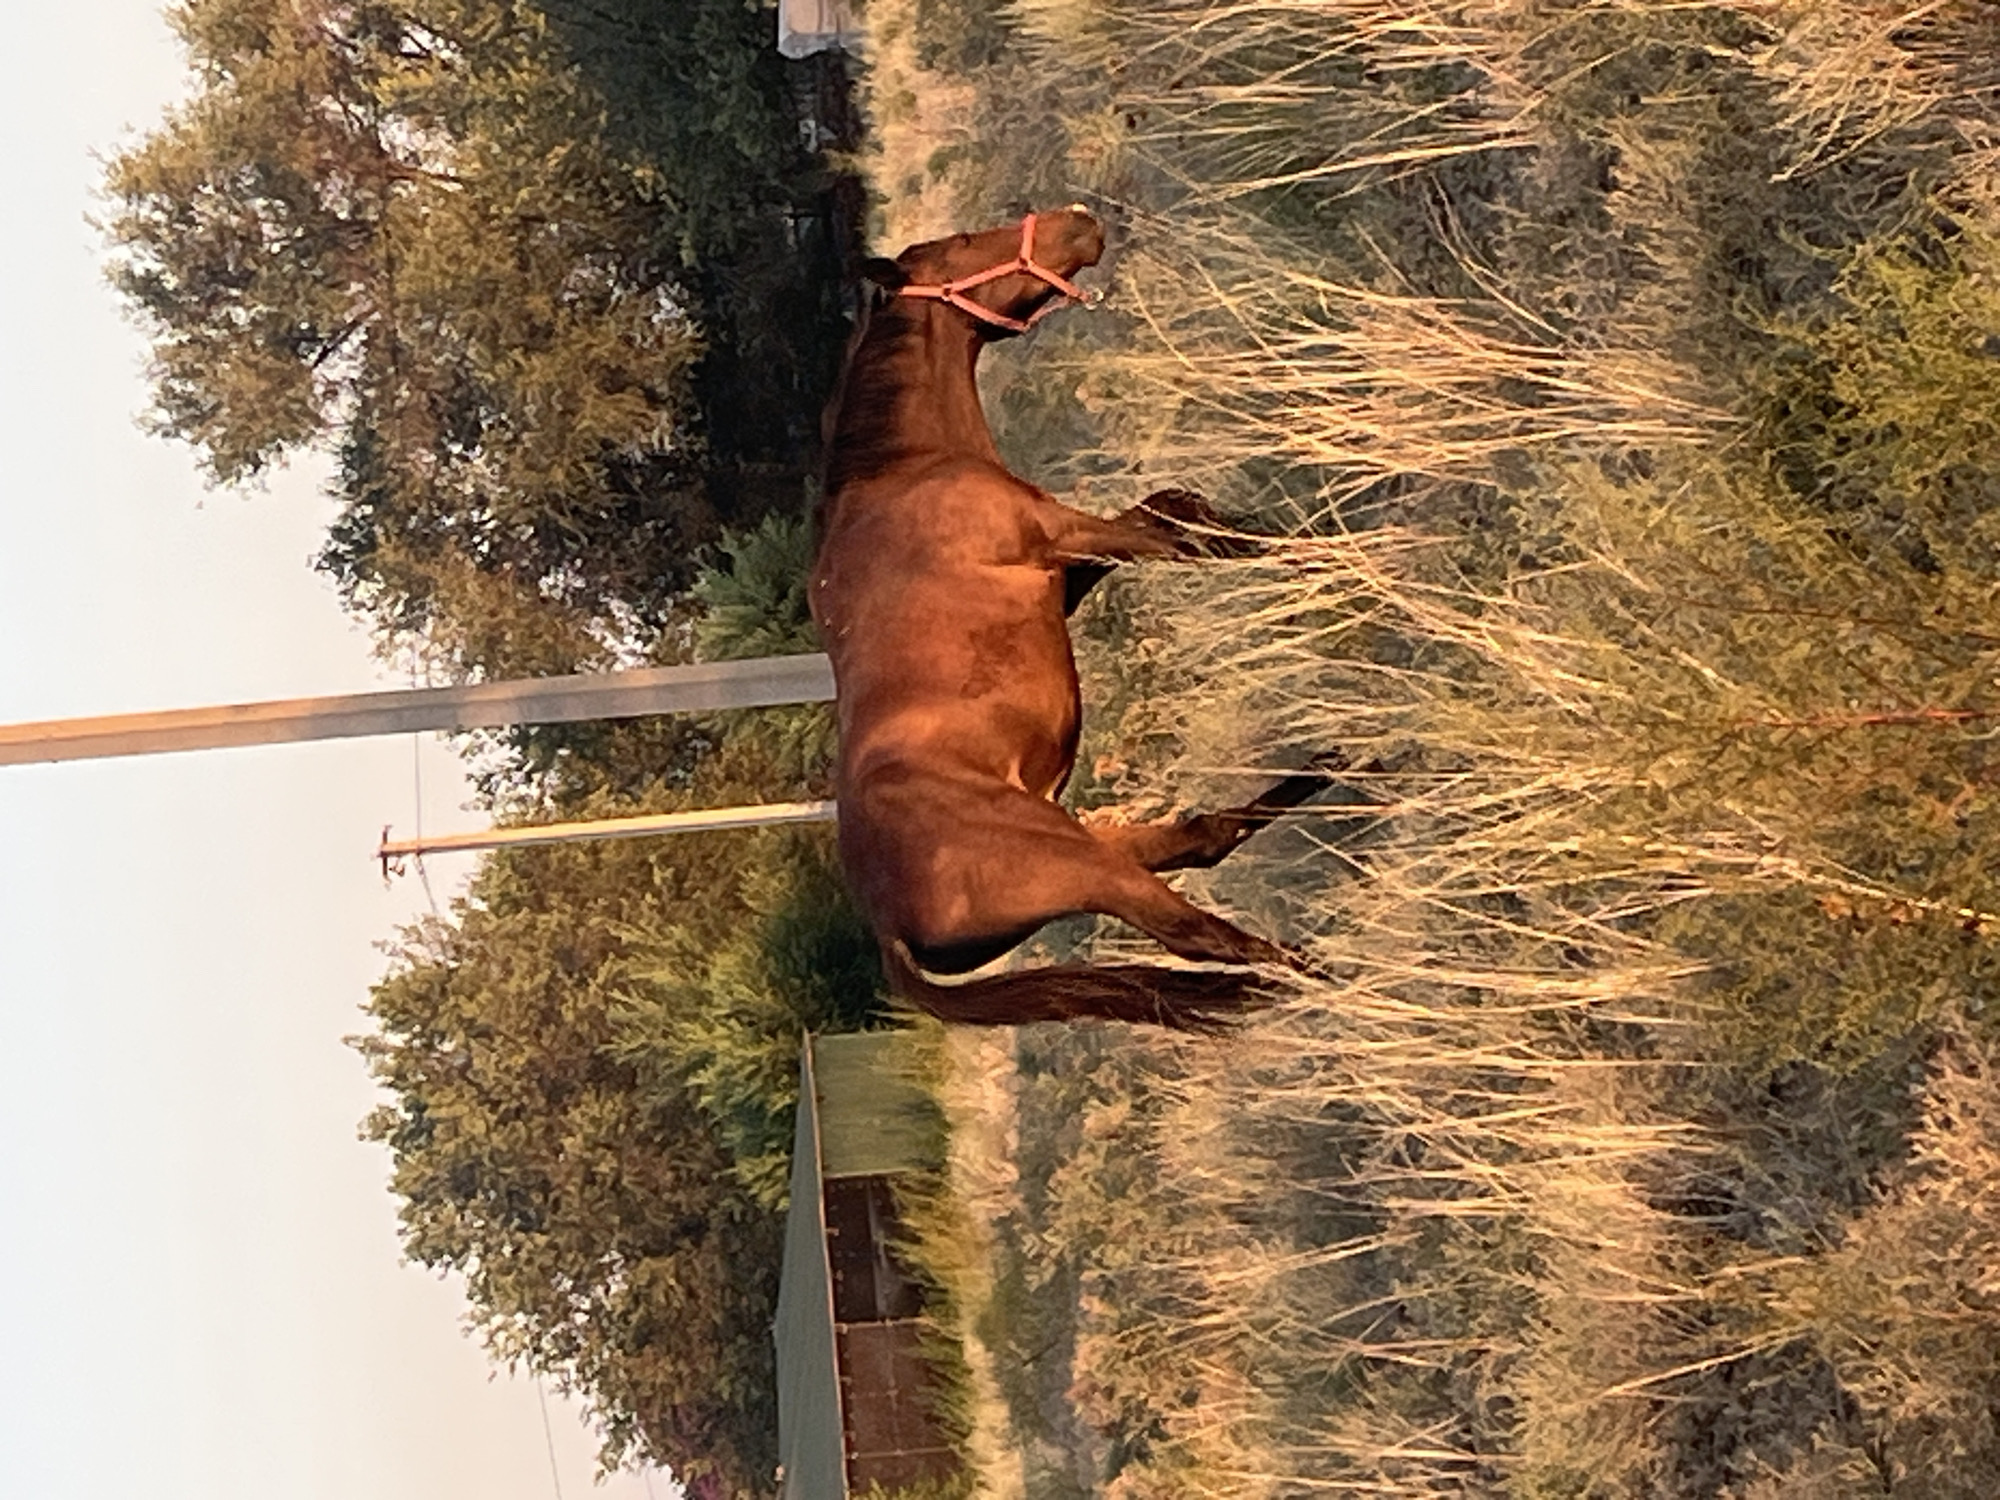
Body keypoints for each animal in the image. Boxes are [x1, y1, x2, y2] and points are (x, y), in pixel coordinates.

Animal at [812, 207, 1332, 1029]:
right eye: (964, 247)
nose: (1078, 222)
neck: (908, 471)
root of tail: (887, 926)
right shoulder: (1064, 537)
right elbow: (1190, 537)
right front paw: (1338, 556)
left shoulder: (1070, 569)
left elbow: (1173, 511)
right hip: (1086, 866)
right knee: (1201, 934)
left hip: (1097, 845)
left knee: (1202, 840)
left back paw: (1339, 772)